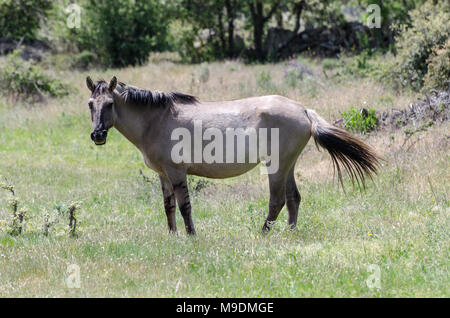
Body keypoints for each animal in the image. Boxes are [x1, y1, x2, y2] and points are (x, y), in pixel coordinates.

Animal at [85, 76, 380, 235]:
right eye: (90, 104)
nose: (97, 135)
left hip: (276, 166)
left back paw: (263, 234)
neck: (156, 119)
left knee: (277, 201)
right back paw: (290, 232)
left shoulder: (176, 171)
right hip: (288, 166)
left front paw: (191, 236)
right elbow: (168, 206)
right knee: (294, 198)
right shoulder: (162, 174)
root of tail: (303, 110)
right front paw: (172, 235)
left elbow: (184, 206)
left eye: (109, 104)